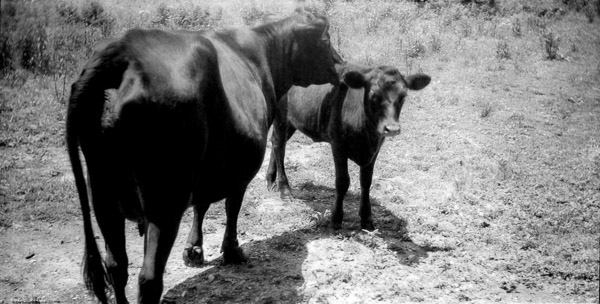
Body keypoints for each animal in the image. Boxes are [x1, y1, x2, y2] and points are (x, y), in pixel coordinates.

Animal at [68, 9, 364, 304]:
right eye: (325, 40)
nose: (343, 66)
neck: (262, 54)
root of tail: (122, 52)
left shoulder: (209, 169)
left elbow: (201, 206)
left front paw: (194, 248)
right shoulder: (240, 167)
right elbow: (232, 207)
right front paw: (231, 250)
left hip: (103, 197)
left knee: (116, 267)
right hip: (165, 200)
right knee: (149, 278)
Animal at [264, 63, 428, 230]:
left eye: (403, 96)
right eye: (373, 95)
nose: (392, 129)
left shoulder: (375, 149)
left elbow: (366, 182)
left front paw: (366, 218)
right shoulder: (337, 145)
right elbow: (342, 182)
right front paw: (336, 218)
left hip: (293, 122)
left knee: (276, 145)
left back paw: (270, 180)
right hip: (281, 117)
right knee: (278, 145)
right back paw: (284, 189)